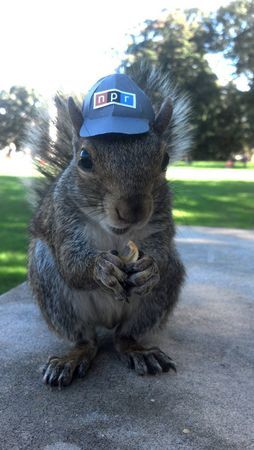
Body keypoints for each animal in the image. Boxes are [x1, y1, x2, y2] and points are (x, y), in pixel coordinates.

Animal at [27, 65, 190, 388]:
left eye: (164, 159)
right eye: (84, 159)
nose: (133, 210)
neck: (118, 236)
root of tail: (107, 321)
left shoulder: (161, 220)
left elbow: (161, 254)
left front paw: (150, 268)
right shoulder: (63, 219)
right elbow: (71, 264)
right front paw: (100, 268)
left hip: (158, 297)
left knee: (123, 336)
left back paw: (139, 350)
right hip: (51, 287)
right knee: (86, 339)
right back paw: (72, 357)